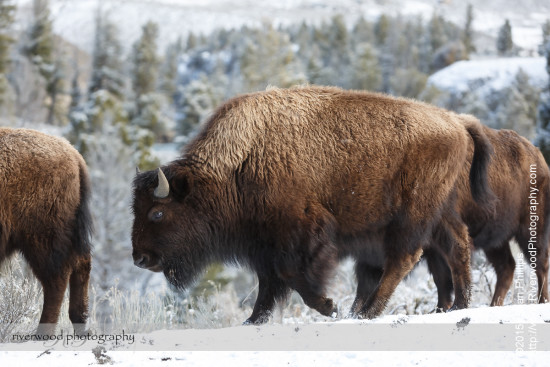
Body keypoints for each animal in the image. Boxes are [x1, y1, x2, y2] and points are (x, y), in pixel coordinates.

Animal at [0, 129, 92, 336]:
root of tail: (74, 154)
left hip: (40, 237)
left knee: (56, 280)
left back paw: (42, 334)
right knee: (80, 266)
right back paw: (80, 323)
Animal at [130, 87, 496, 324]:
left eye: (157, 212)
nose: (140, 258)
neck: (239, 163)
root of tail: (457, 122)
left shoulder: (299, 234)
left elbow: (291, 275)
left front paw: (329, 306)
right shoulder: (264, 244)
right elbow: (269, 284)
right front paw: (253, 320)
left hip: (412, 215)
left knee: (404, 258)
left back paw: (365, 312)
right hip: (441, 212)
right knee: (457, 247)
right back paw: (459, 305)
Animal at [426, 115, 550, 310]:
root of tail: (538, 156)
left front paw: (451, 307)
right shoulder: (431, 247)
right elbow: (441, 279)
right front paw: (440, 309)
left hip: (532, 228)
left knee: (540, 262)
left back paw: (542, 301)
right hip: (495, 239)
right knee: (507, 266)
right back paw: (494, 304)